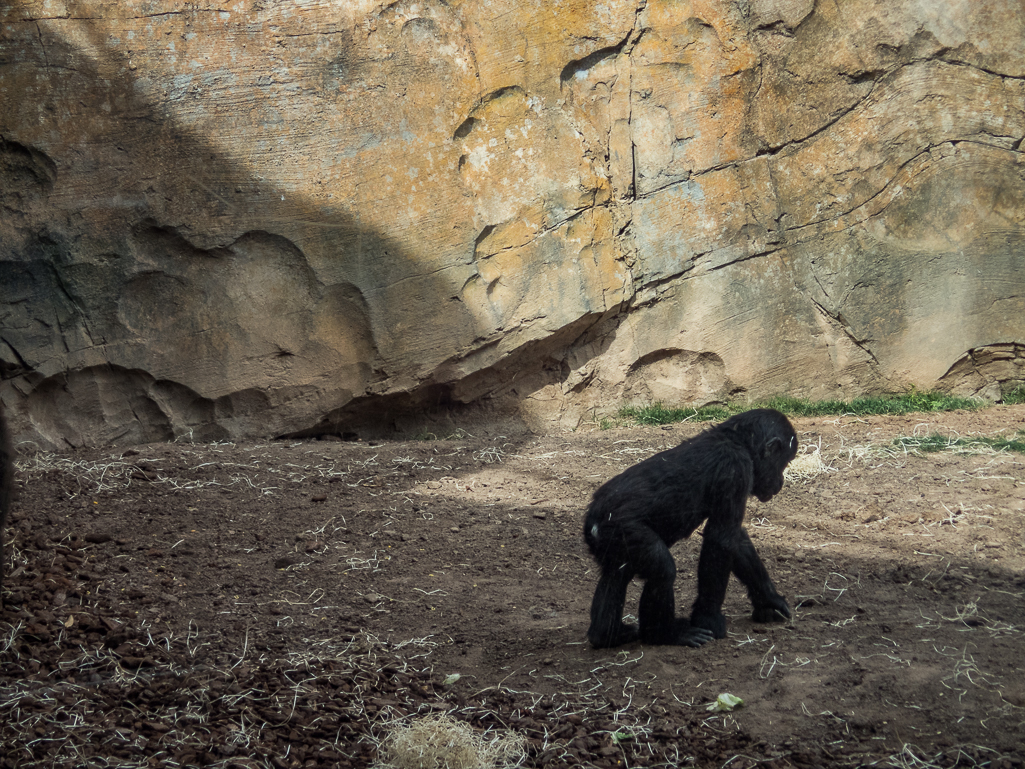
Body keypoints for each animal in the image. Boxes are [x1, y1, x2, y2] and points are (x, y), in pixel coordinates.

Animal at [582, 410, 795, 652]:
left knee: (616, 573)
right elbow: (721, 539)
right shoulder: (735, 470)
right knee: (662, 569)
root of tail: (593, 517)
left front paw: (771, 600)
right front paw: (709, 620)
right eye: (785, 462)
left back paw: (607, 635)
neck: (737, 441)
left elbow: (736, 539)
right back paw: (665, 634)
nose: (781, 481)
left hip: (611, 540)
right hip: (623, 528)